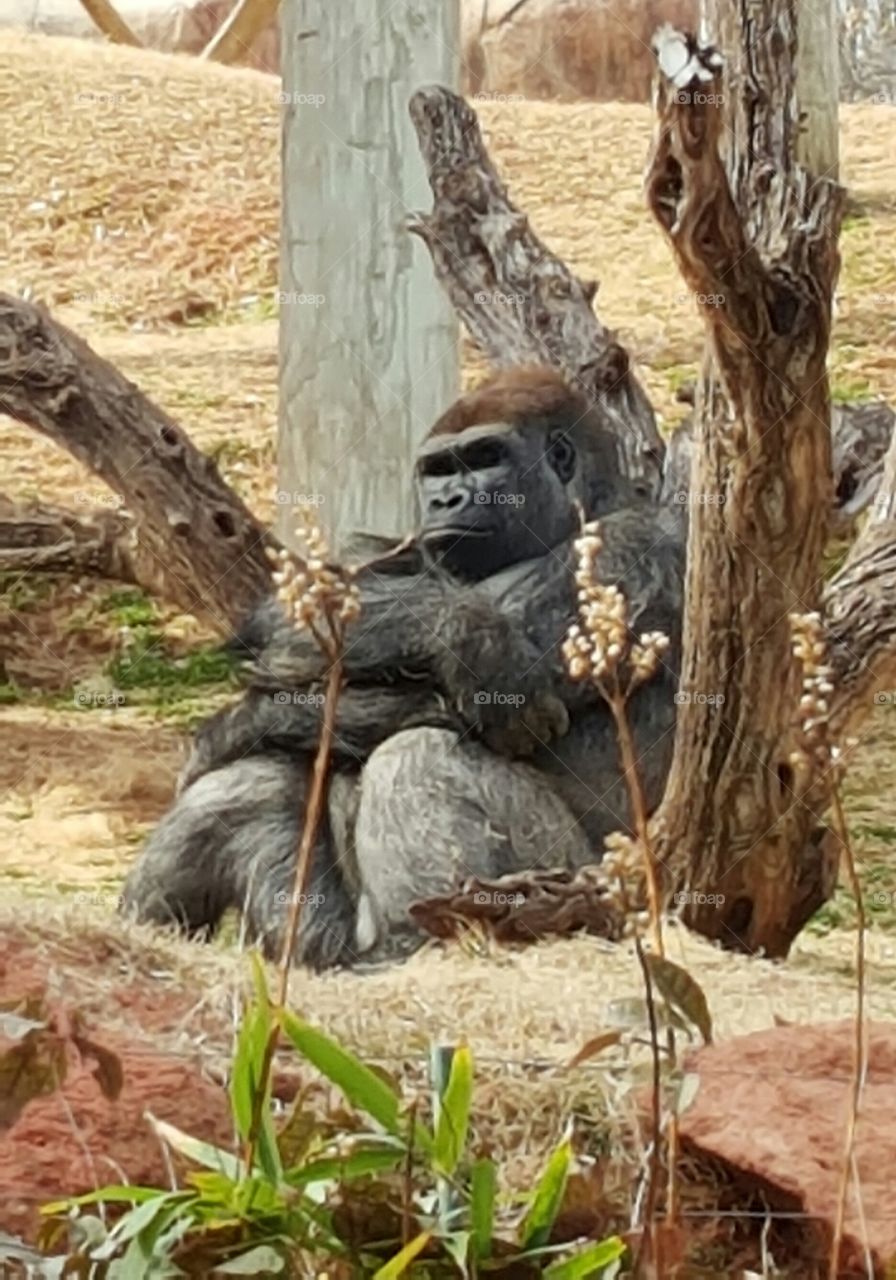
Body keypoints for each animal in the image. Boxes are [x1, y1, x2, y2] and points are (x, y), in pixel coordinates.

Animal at [121, 367, 685, 968]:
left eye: (486, 457)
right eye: (438, 469)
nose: (445, 499)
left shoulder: (632, 548)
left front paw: (471, 639)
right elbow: (305, 613)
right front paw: (465, 630)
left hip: (585, 883)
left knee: (416, 753)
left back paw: (436, 935)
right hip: (321, 944)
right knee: (263, 783)